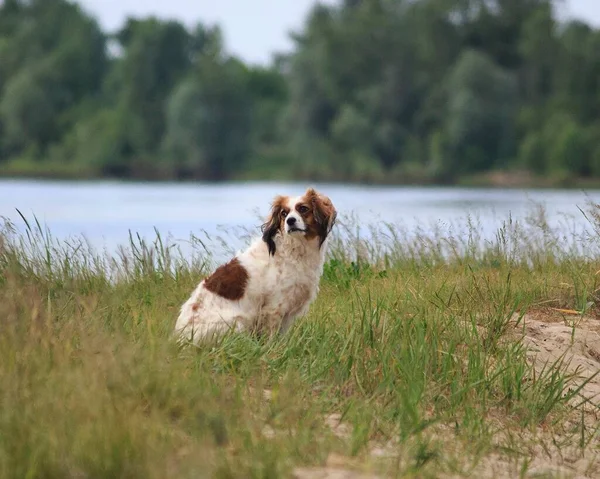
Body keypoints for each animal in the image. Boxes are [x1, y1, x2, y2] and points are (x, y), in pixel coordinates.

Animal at [175, 186, 338, 344]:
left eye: (303, 208)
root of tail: (180, 339)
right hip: (238, 322)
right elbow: (271, 338)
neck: (295, 249)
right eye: (284, 213)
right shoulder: (274, 307)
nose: (290, 221)